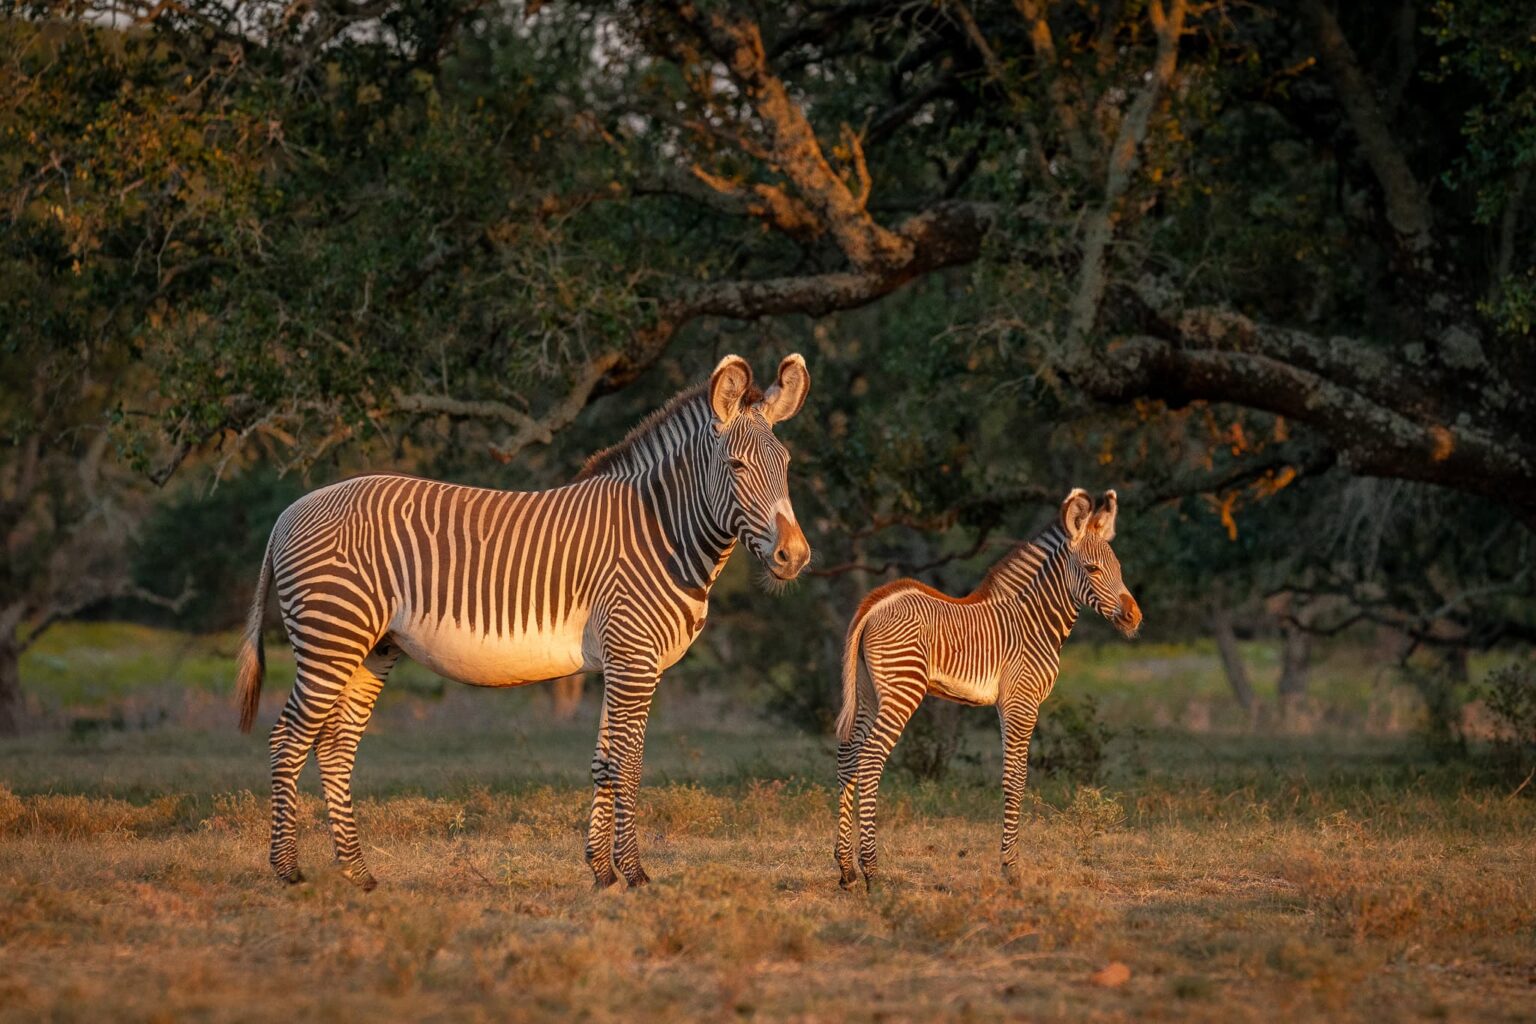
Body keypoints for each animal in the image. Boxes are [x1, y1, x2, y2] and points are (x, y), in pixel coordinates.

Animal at [235, 353, 811, 890]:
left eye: (785, 465)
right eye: (735, 466)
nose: (794, 557)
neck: (664, 532)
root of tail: (289, 512)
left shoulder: (618, 662)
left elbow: (604, 761)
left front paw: (601, 872)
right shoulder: (634, 659)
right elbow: (628, 762)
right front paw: (635, 874)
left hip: (371, 647)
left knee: (335, 748)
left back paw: (359, 874)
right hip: (330, 638)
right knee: (287, 739)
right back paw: (287, 870)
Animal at [833, 488, 1141, 890]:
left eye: (1118, 567)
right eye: (1092, 569)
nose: (1135, 618)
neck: (1034, 622)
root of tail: (874, 604)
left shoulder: (1007, 702)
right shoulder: (1021, 700)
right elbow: (1016, 778)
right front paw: (1011, 867)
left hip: (869, 691)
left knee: (847, 757)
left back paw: (846, 869)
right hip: (902, 689)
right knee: (869, 760)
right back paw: (871, 870)